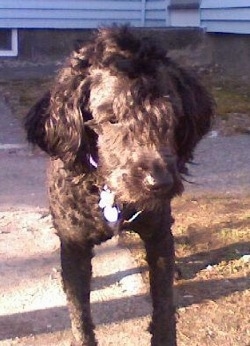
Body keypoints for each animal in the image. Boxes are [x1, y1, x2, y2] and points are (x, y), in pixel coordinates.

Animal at [24, 27, 214, 346]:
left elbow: (164, 306)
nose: (159, 184)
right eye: (111, 117)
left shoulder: (157, 231)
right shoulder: (74, 245)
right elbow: (80, 317)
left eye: (172, 114)